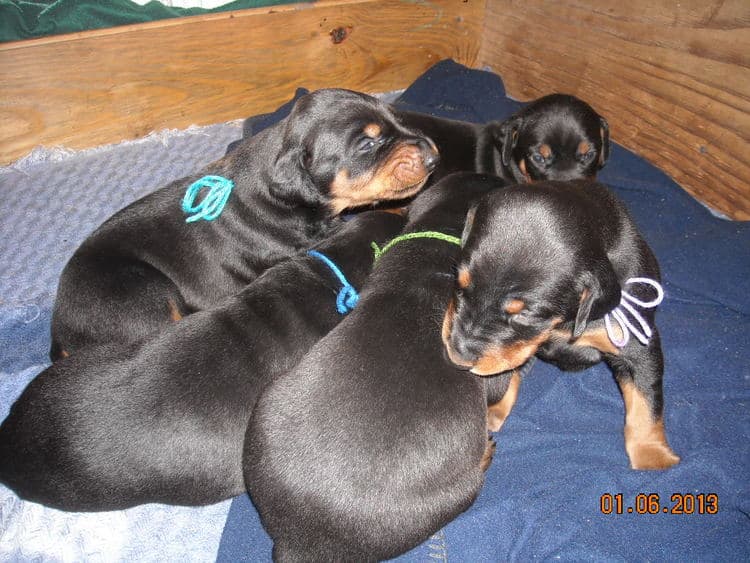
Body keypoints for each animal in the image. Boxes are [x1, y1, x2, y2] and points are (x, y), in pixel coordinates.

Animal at [444, 181, 684, 472]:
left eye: (526, 314)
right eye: (459, 284)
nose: (457, 356)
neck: (564, 321)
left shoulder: (635, 344)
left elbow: (645, 400)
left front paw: (653, 457)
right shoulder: (517, 348)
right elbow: (509, 367)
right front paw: (495, 410)